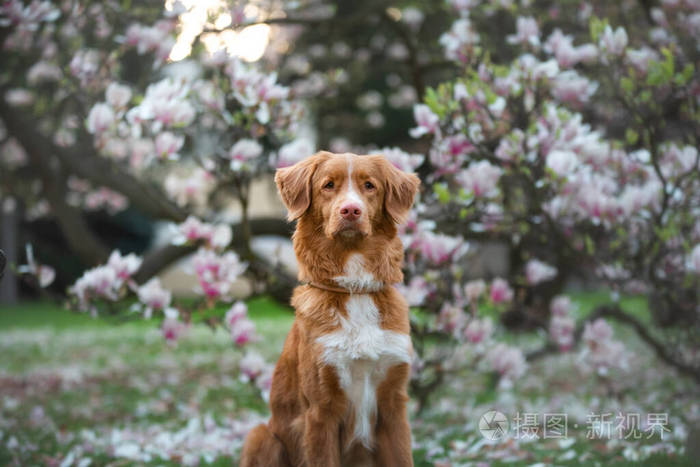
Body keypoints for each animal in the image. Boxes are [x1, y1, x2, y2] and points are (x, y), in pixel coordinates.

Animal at [241, 152, 418, 466]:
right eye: (328, 185)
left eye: (369, 185)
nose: (351, 210)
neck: (355, 290)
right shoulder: (321, 410)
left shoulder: (394, 405)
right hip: (260, 436)